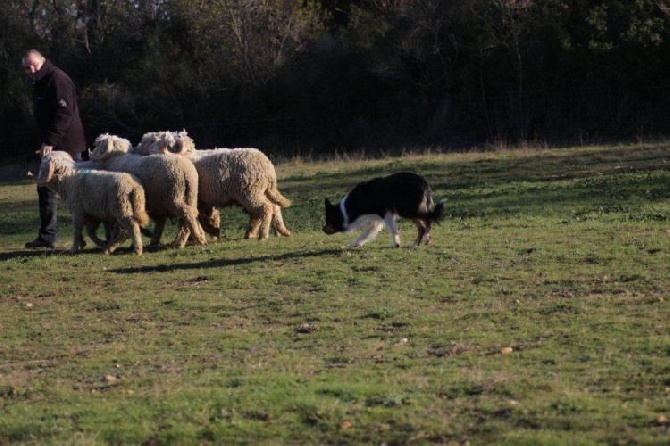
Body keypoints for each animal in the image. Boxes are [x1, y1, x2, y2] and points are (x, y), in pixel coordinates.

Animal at [136, 130, 292, 240]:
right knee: (273, 208)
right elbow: (206, 218)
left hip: (250, 191)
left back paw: (262, 234)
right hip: (260, 191)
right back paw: (279, 231)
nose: (137, 148)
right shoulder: (203, 202)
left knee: (265, 208)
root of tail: (268, 167)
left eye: (151, 141)